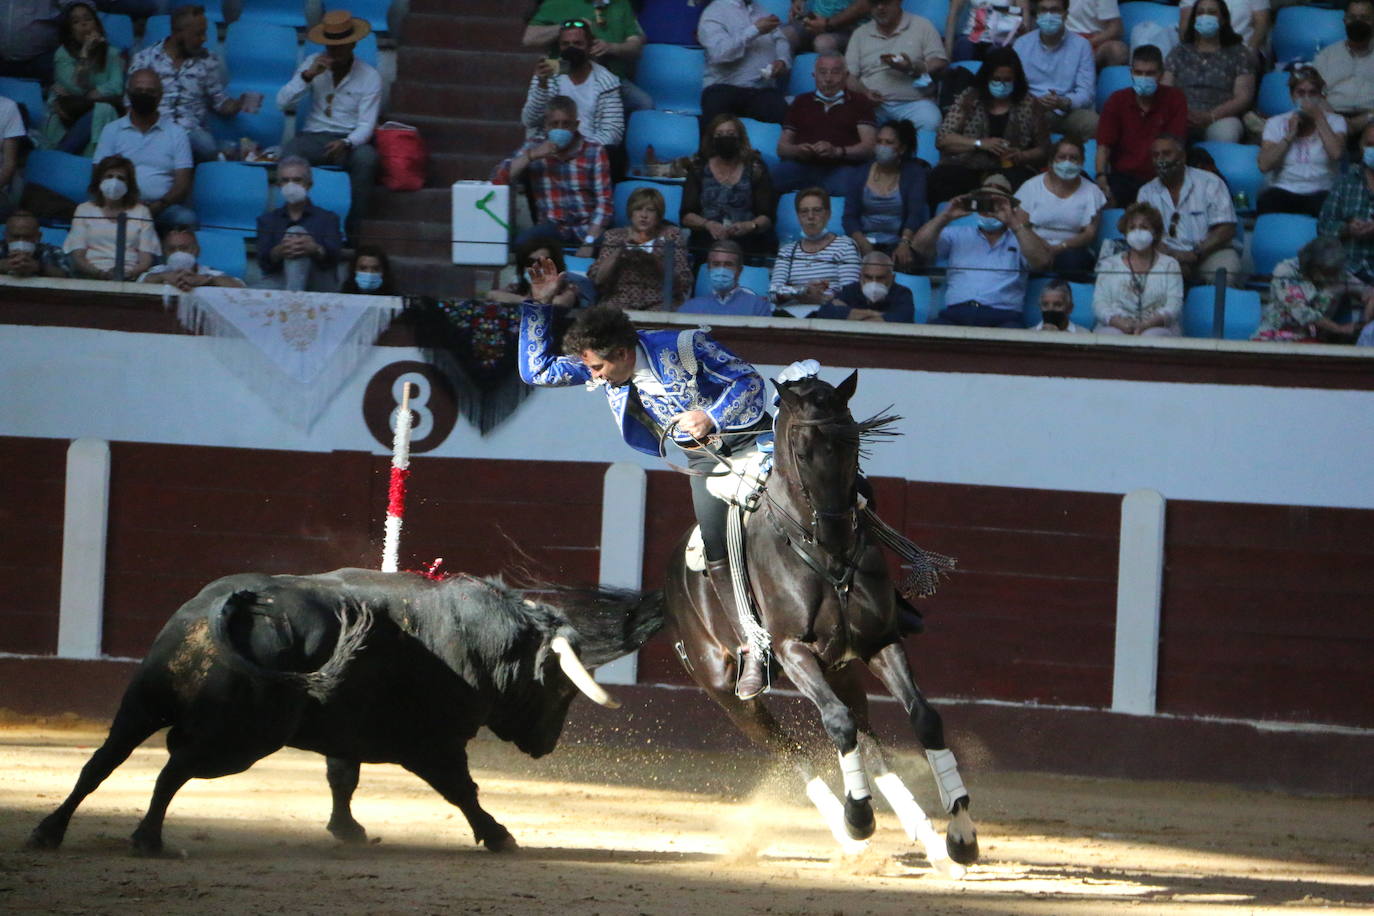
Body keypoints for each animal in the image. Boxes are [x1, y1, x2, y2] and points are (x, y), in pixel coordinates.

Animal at [25, 568, 659, 856]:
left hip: (143, 702)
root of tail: (232, 604)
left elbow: (342, 778)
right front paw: (500, 836)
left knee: (102, 761)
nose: (547, 745)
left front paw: (347, 830)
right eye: (561, 690)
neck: (478, 640)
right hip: (240, 739)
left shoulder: (346, 735)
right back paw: (149, 839)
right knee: (172, 770)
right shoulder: (433, 745)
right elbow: (463, 790)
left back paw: (49, 832)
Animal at [665, 370, 978, 873]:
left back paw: (926, 840)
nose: (835, 531)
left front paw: (962, 836)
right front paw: (859, 819)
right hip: (727, 693)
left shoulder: (880, 642)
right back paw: (849, 833)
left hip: (843, 669)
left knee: (867, 737)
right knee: (793, 749)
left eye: (855, 443)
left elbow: (924, 718)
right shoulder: (794, 651)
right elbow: (836, 724)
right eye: (802, 449)